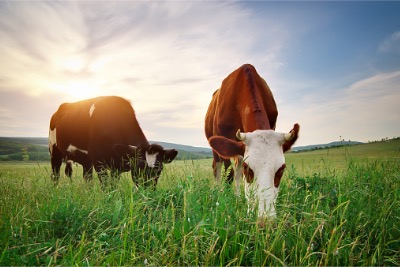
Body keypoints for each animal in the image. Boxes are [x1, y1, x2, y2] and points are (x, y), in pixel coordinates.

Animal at [205, 63, 298, 219]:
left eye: (282, 169)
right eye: (248, 169)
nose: (265, 219)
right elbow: (228, 174)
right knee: (219, 168)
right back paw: (218, 191)